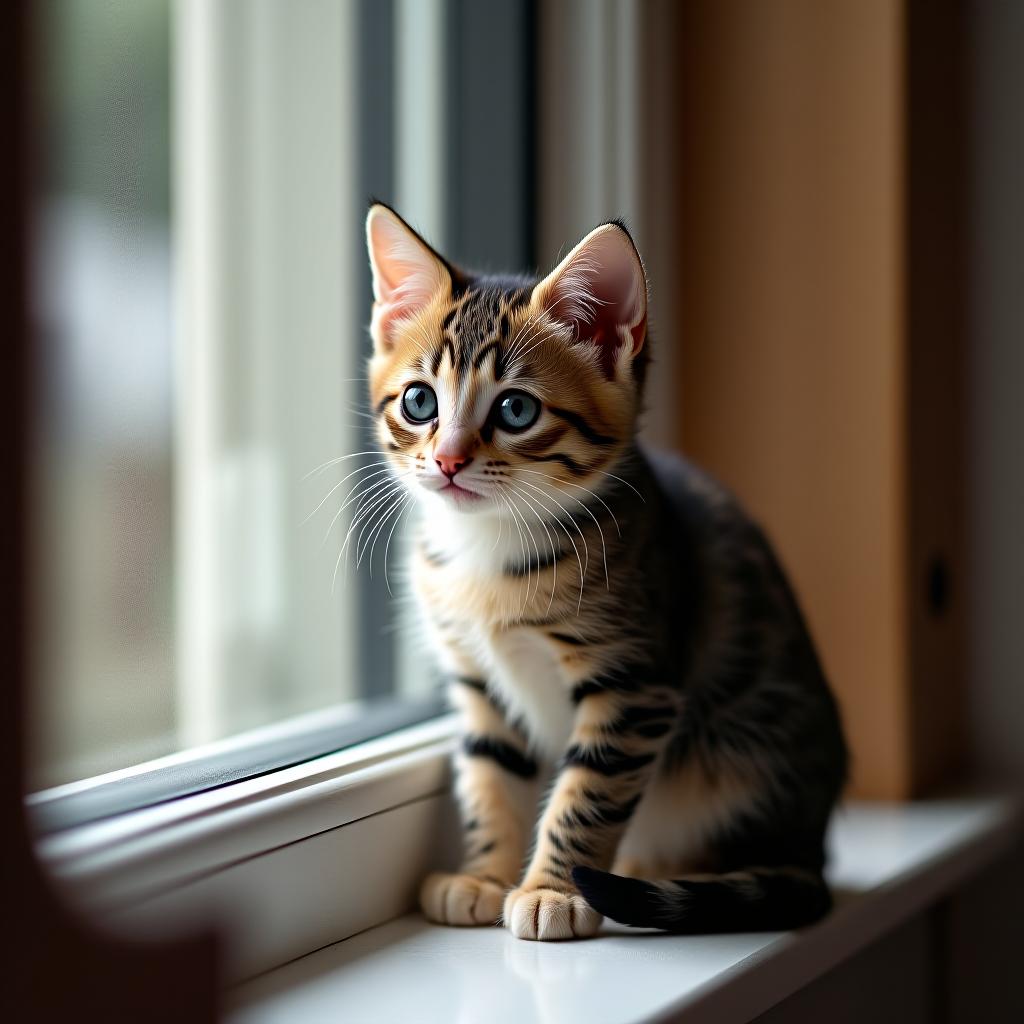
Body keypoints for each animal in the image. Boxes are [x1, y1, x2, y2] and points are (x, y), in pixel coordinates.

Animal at [364, 203, 843, 937]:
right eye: (420, 403)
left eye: (516, 409)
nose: (446, 461)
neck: (488, 553)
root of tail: (812, 846)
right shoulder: (478, 684)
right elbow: (489, 777)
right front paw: (486, 875)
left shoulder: (634, 685)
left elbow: (586, 792)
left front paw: (553, 890)